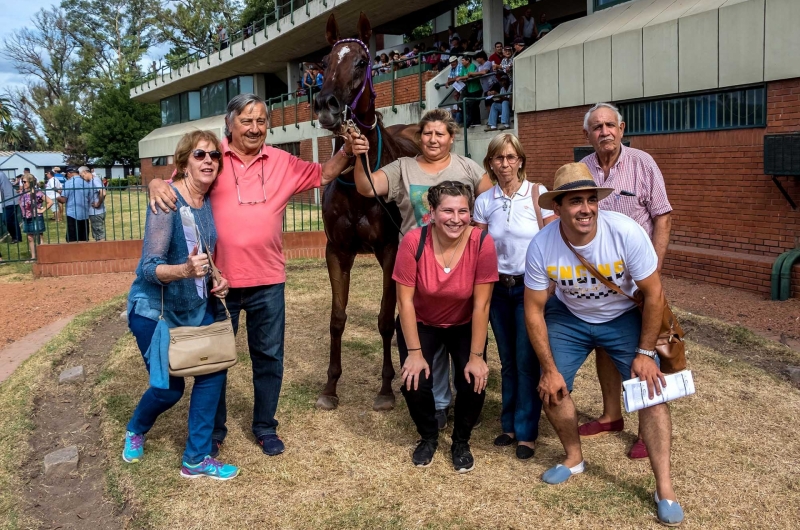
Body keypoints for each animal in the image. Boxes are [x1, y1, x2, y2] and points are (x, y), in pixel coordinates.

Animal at [314, 11, 418, 408]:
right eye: (324, 62)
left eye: (361, 62)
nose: (326, 105)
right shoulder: (338, 251)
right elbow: (337, 318)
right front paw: (330, 387)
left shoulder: (389, 250)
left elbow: (386, 319)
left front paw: (387, 389)